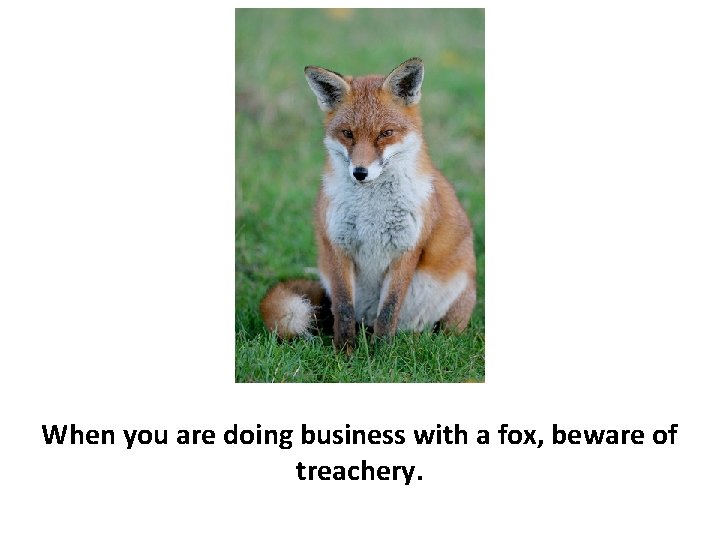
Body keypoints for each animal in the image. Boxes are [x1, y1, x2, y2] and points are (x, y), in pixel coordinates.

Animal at [260, 57, 477, 353]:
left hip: (453, 308)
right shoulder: (338, 246)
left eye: (385, 133)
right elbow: (343, 308)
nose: (360, 173)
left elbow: (389, 310)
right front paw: (344, 353)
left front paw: (382, 354)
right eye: (348, 133)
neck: (372, 210)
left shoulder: (405, 249)